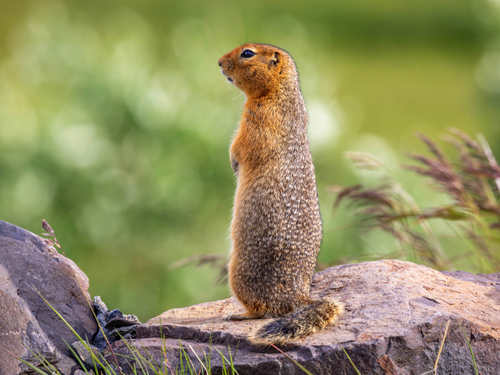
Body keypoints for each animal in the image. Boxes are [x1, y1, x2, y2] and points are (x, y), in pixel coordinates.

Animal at [219, 42, 344, 346]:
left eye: (247, 53)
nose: (218, 62)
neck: (280, 93)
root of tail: (299, 296)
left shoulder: (257, 119)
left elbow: (241, 145)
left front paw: (233, 162)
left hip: (239, 273)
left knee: (263, 310)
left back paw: (237, 314)